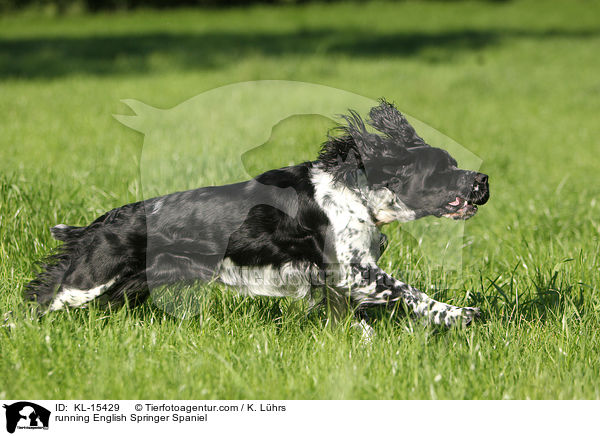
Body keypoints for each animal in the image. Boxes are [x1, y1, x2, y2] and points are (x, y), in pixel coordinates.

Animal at [25, 100, 490, 328]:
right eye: (443, 168)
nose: (483, 179)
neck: (355, 190)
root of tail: (101, 223)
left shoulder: (335, 279)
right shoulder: (354, 269)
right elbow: (409, 292)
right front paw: (460, 315)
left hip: (124, 285)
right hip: (89, 279)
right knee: (38, 302)